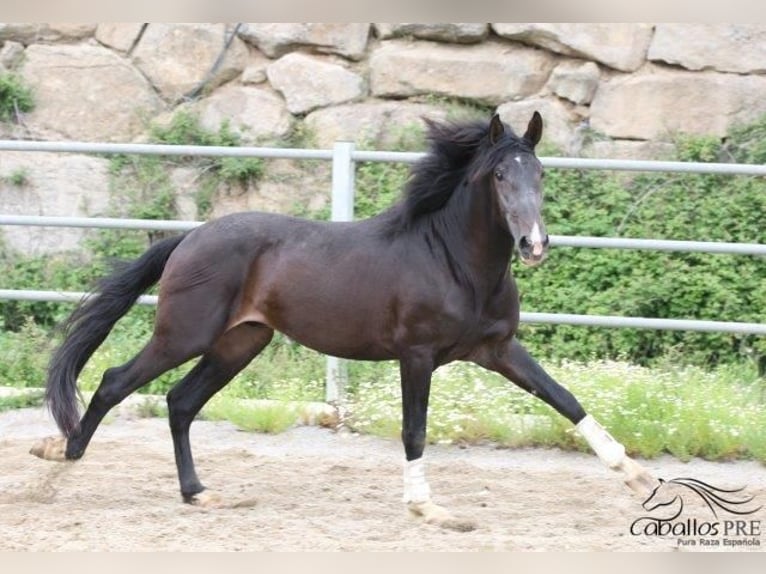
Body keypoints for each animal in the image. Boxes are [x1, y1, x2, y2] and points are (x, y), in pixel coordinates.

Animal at [31, 112, 660, 532]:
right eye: (501, 176)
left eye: (541, 174)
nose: (534, 245)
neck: (453, 261)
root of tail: (189, 237)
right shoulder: (418, 355)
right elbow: (414, 430)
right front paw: (429, 507)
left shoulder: (498, 349)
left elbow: (566, 399)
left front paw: (638, 477)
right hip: (184, 335)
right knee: (115, 381)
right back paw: (59, 461)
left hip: (240, 343)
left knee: (181, 403)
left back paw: (199, 494)